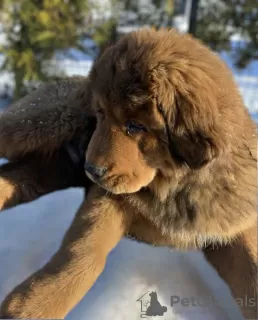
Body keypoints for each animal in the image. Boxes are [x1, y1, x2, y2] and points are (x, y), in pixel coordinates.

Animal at [0, 28, 256, 318]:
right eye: (100, 113)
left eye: (136, 126)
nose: (91, 169)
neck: (171, 188)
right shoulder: (108, 198)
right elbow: (84, 252)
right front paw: (31, 306)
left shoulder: (231, 225)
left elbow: (251, 270)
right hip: (43, 123)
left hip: (53, 167)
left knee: (20, 177)